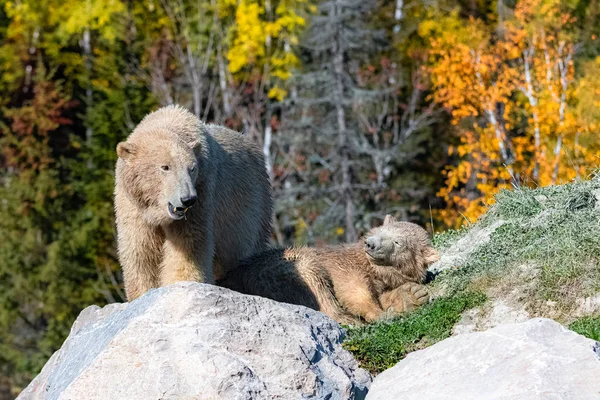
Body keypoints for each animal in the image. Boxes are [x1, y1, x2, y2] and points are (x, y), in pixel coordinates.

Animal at [114, 105, 272, 300]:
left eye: (192, 168)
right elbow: (140, 252)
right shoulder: (133, 205)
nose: (187, 199)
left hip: (252, 206)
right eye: (165, 167)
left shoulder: (202, 192)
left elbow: (188, 246)